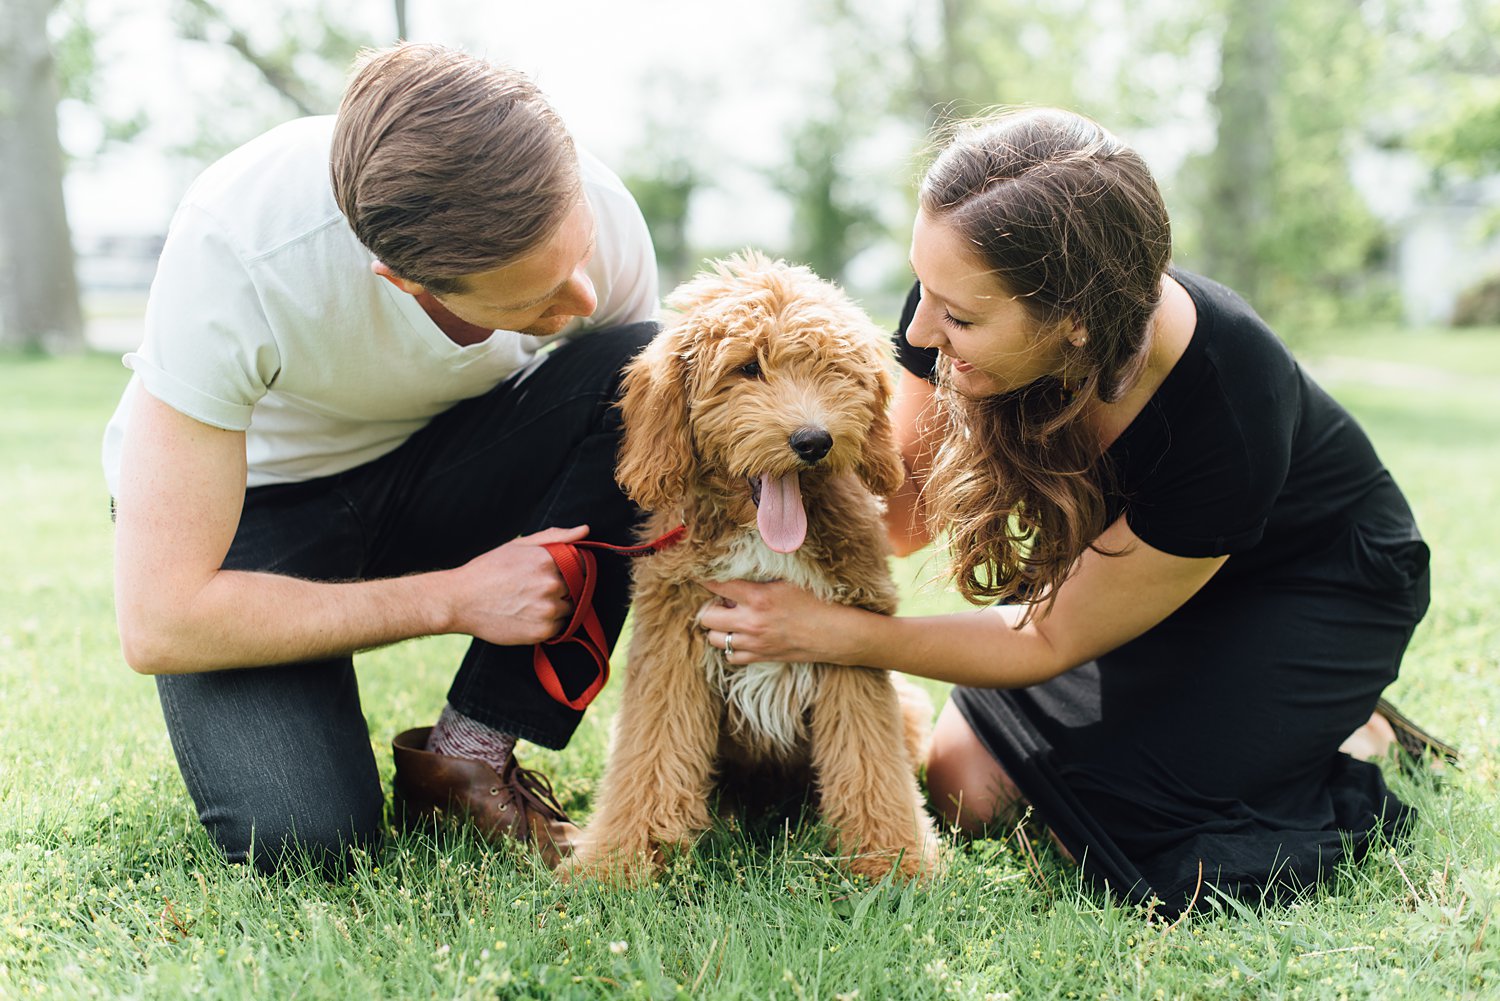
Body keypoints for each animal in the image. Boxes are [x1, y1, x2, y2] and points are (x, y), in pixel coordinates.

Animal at [564, 252, 936, 882]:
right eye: (746, 368)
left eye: (832, 369)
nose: (813, 440)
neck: (763, 543)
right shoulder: (672, 645)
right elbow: (650, 756)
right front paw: (620, 861)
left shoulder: (852, 646)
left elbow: (870, 763)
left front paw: (894, 863)